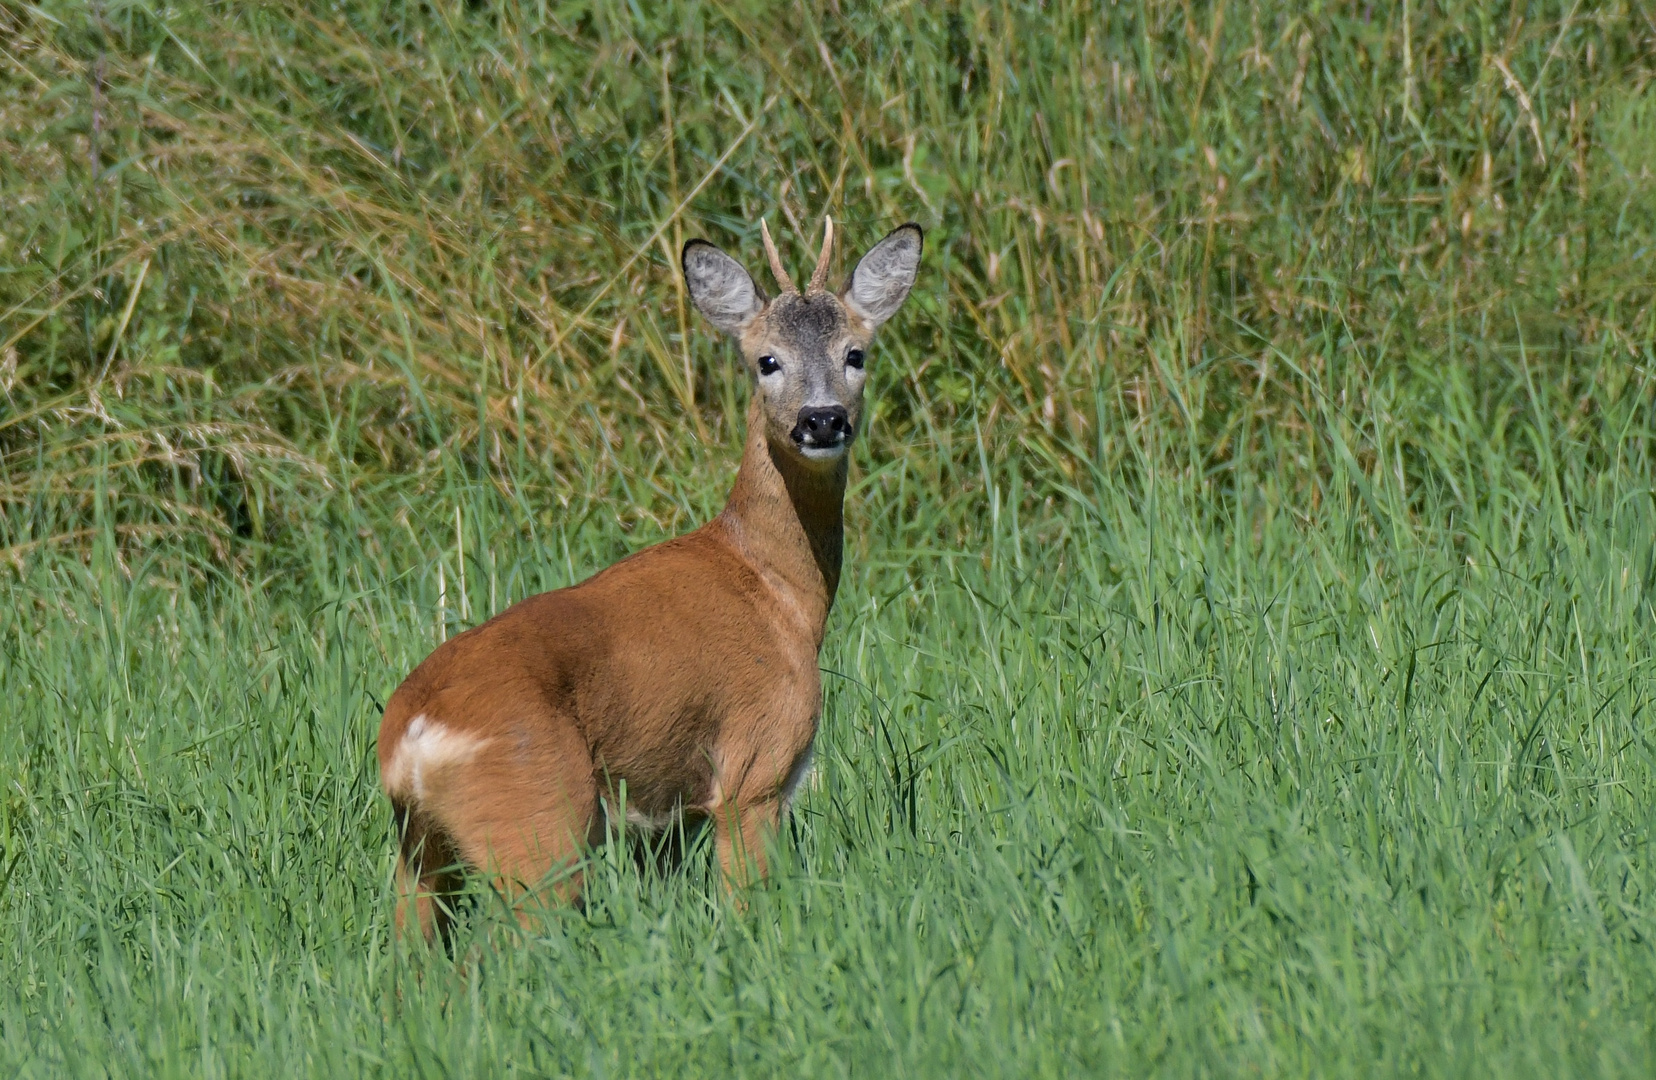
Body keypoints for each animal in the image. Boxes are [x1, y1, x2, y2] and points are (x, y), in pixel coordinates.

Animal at [375, 215, 920, 940]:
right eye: (766, 360)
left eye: (856, 353)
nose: (823, 419)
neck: (776, 589)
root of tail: (410, 742)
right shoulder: (755, 769)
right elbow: (745, 907)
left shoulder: (671, 818)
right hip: (539, 827)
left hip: (420, 850)